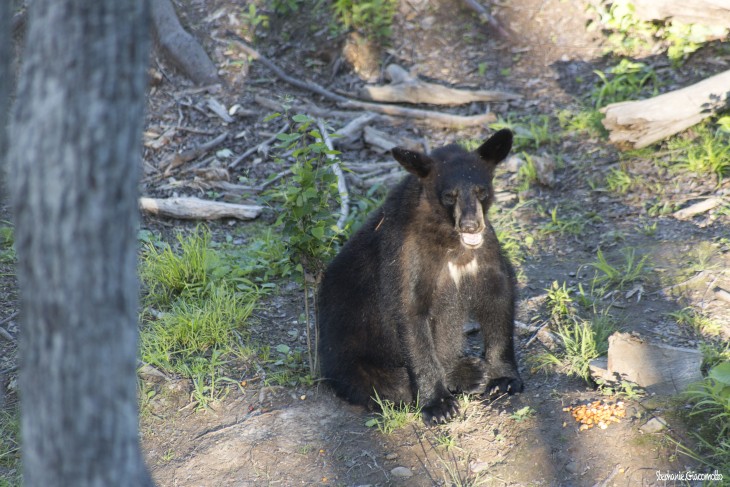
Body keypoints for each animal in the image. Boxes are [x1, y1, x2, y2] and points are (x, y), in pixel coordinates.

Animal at [316, 129, 520, 424]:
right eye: (449, 195)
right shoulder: (406, 257)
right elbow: (411, 315)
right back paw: (467, 373)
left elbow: (498, 296)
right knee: (391, 384)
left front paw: (504, 379)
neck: (451, 242)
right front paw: (439, 405)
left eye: (481, 191)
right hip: (353, 358)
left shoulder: (486, 251)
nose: (470, 225)